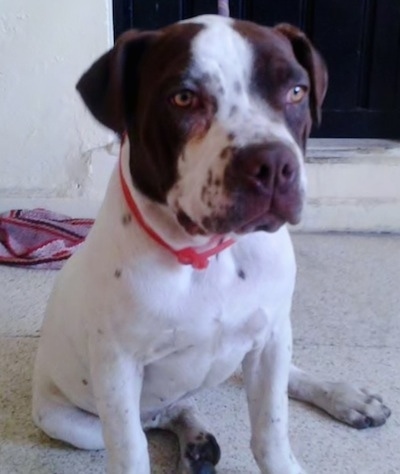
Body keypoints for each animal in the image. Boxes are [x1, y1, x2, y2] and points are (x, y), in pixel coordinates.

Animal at [32, 14, 390, 474]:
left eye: (296, 91)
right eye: (183, 98)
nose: (273, 163)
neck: (208, 254)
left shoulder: (271, 336)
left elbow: (272, 428)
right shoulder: (117, 367)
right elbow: (131, 449)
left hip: (270, 338)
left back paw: (343, 397)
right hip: (74, 423)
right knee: (157, 416)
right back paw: (193, 441)